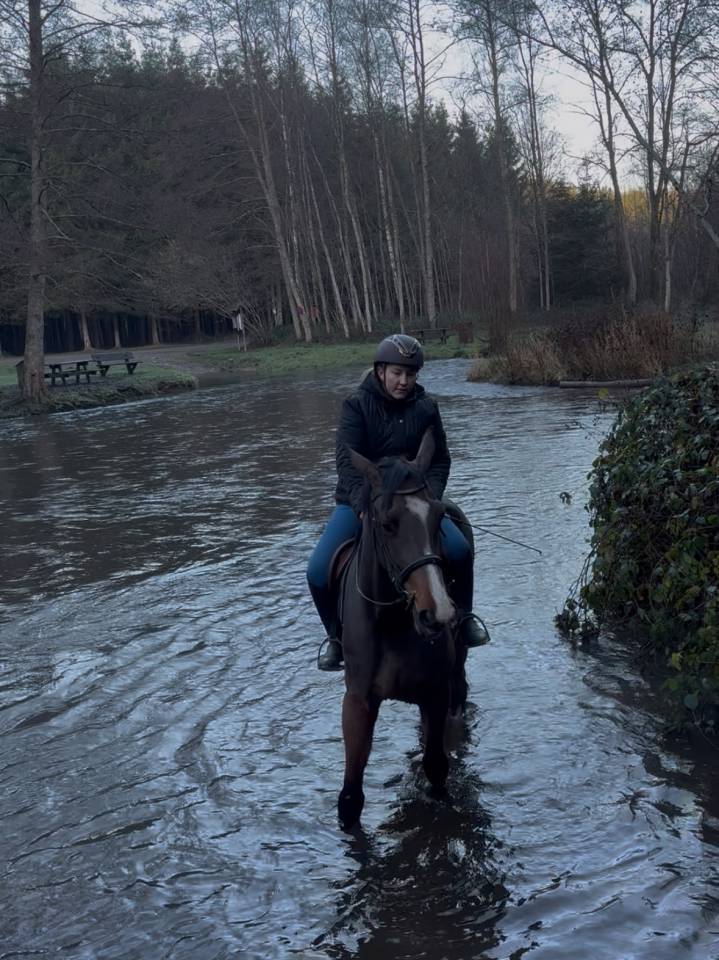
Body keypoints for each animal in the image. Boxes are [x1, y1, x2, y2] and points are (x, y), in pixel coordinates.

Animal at [336, 426, 468, 830]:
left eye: (437, 518)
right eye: (387, 523)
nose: (437, 613)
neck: (392, 623)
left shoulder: (436, 691)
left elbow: (437, 768)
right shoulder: (358, 702)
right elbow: (351, 797)